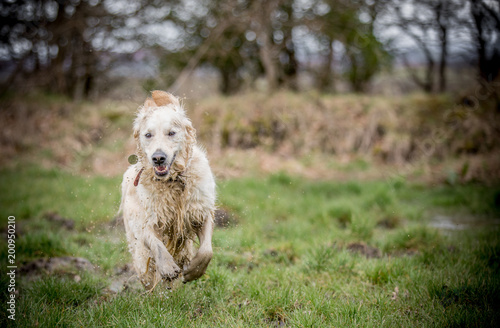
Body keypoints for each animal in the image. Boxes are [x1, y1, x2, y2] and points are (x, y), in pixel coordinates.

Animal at [121, 91, 217, 288]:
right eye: (148, 135)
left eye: (171, 133)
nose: (158, 158)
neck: (173, 180)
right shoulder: (146, 220)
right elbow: (156, 243)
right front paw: (167, 267)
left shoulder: (201, 211)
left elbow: (206, 251)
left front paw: (194, 271)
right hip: (138, 251)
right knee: (146, 273)